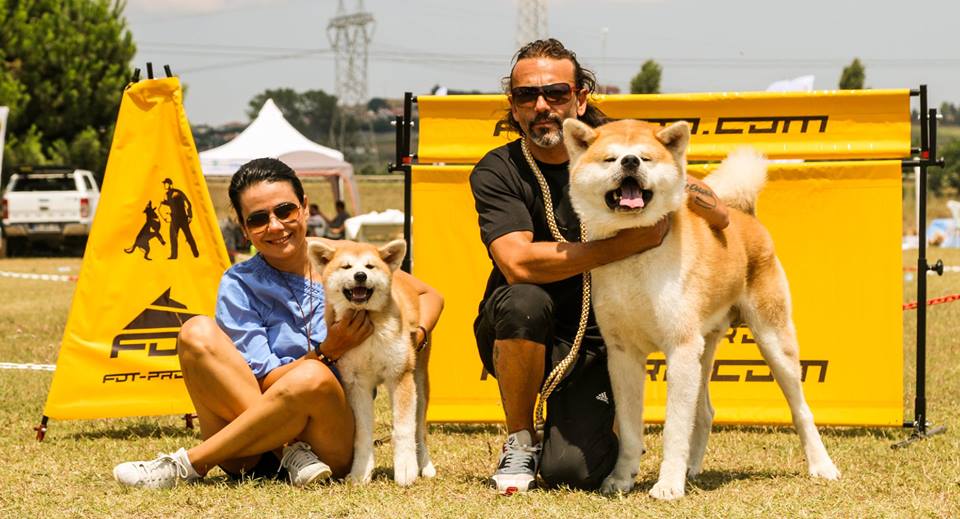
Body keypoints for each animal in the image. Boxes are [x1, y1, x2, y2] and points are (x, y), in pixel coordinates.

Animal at [308, 240, 436, 488]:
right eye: (346, 267)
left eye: (370, 266)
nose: (360, 275)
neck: (368, 324)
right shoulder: (357, 384)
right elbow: (363, 434)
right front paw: (361, 473)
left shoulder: (399, 376)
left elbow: (404, 430)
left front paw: (406, 470)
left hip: (418, 384)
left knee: (419, 432)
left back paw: (425, 466)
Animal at [564, 118, 840, 500]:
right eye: (610, 159)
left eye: (646, 158)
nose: (630, 162)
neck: (634, 250)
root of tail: (743, 214)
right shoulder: (623, 355)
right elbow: (632, 431)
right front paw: (621, 480)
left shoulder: (679, 348)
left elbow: (673, 429)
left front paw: (667, 485)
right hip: (704, 349)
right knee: (706, 411)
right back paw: (691, 468)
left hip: (772, 341)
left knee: (800, 410)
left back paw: (821, 465)